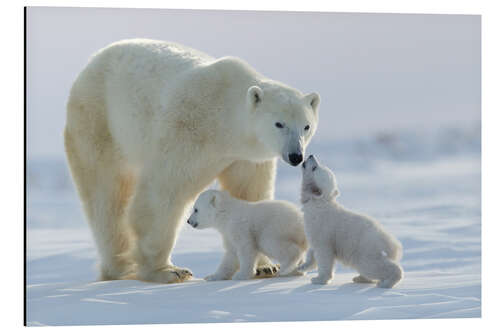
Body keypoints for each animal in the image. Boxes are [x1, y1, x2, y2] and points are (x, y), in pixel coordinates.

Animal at [63, 39, 320, 282]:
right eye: (279, 124)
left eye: (306, 126)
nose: (296, 156)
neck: (226, 119)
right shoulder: (190, 129)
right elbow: (163, 193)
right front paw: (167, 271)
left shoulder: (246, 157)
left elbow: (249, 192)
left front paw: (266, 266)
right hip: (100, 122)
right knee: (107, 196)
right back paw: (121, 268)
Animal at [300, 154, 402, 286]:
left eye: (314, 167)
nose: (311, 155)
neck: (319, 203)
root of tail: (386, 238)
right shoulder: (313, 230)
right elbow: (312, 250)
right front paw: (303, 266)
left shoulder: (323, 229)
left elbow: (324, 254)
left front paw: (319, 279)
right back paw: (360, 278)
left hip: (365, 248)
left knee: (372, 265)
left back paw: (386, 282)